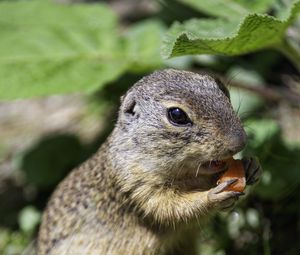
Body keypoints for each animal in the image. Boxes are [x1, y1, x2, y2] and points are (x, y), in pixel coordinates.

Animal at [37, 68, 262, 254]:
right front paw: (212, 196)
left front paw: (251, 167)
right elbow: (171, 209)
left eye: (222, 88)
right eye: (177, 114)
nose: (240, 142)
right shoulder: (138, 186)